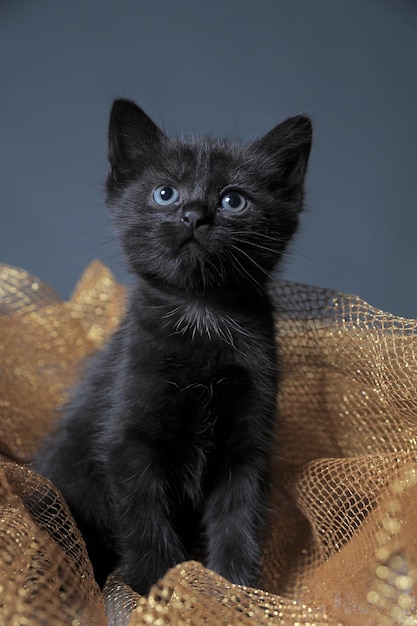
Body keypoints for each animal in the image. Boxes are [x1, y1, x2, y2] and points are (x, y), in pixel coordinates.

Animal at [34, 100, 310, 592]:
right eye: (165, 194)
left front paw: (233, 589)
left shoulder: (249, 442)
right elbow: (145, 522)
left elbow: (239, 519)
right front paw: (157, 587)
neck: (202, 317)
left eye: (233, 200)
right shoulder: (128, 439)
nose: (195, 214)